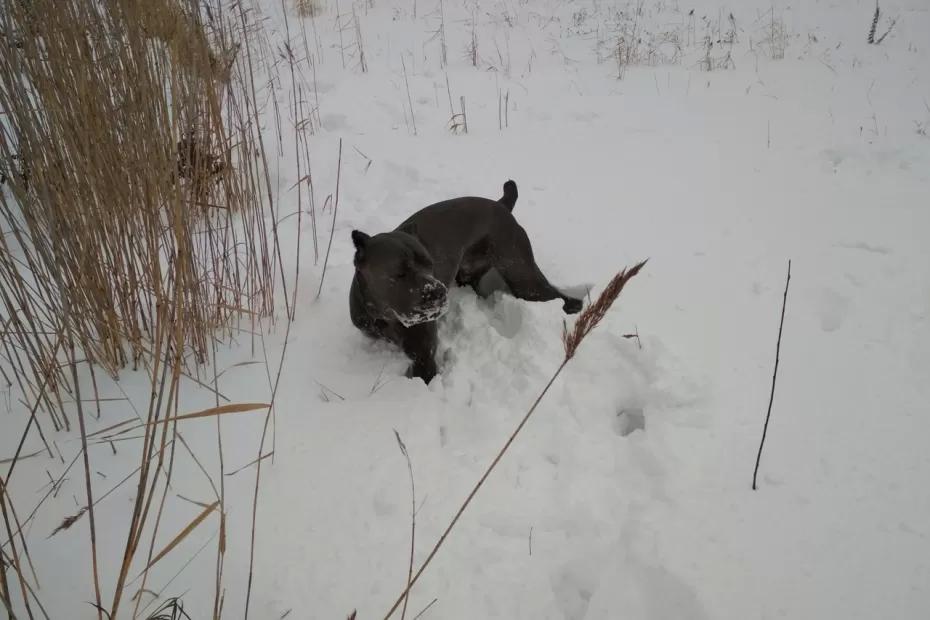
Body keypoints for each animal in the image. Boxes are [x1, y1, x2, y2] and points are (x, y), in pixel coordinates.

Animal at [348, 179, 580, 382]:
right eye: (400, 272)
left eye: (430, 264)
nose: (439, 292)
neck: (383, 314)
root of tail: (501, 204)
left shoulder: (424, 358)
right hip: (474, 274)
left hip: (523, 276)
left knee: (556, 295)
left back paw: (574, 307)